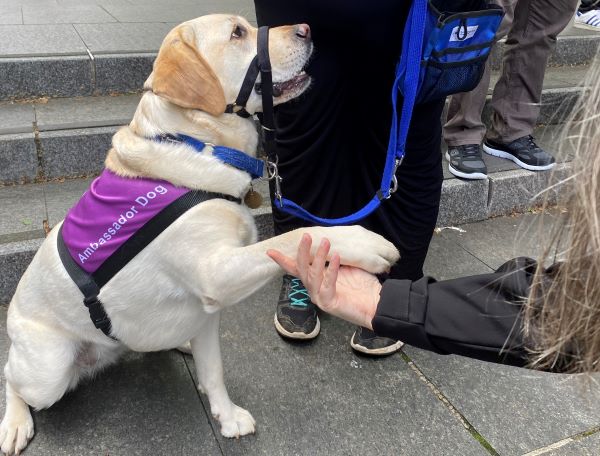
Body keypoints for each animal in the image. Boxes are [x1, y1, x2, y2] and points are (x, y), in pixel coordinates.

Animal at [1, 14, 404, 456]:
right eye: (237, 33)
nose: (307, 29)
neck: (198, 143)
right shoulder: (216, 272)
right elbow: (291, 237)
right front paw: (363, 242)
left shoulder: (210, 311)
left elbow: (214, 373)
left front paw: (226, 417)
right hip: (48, 372)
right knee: (11, 377)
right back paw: (15, 423)